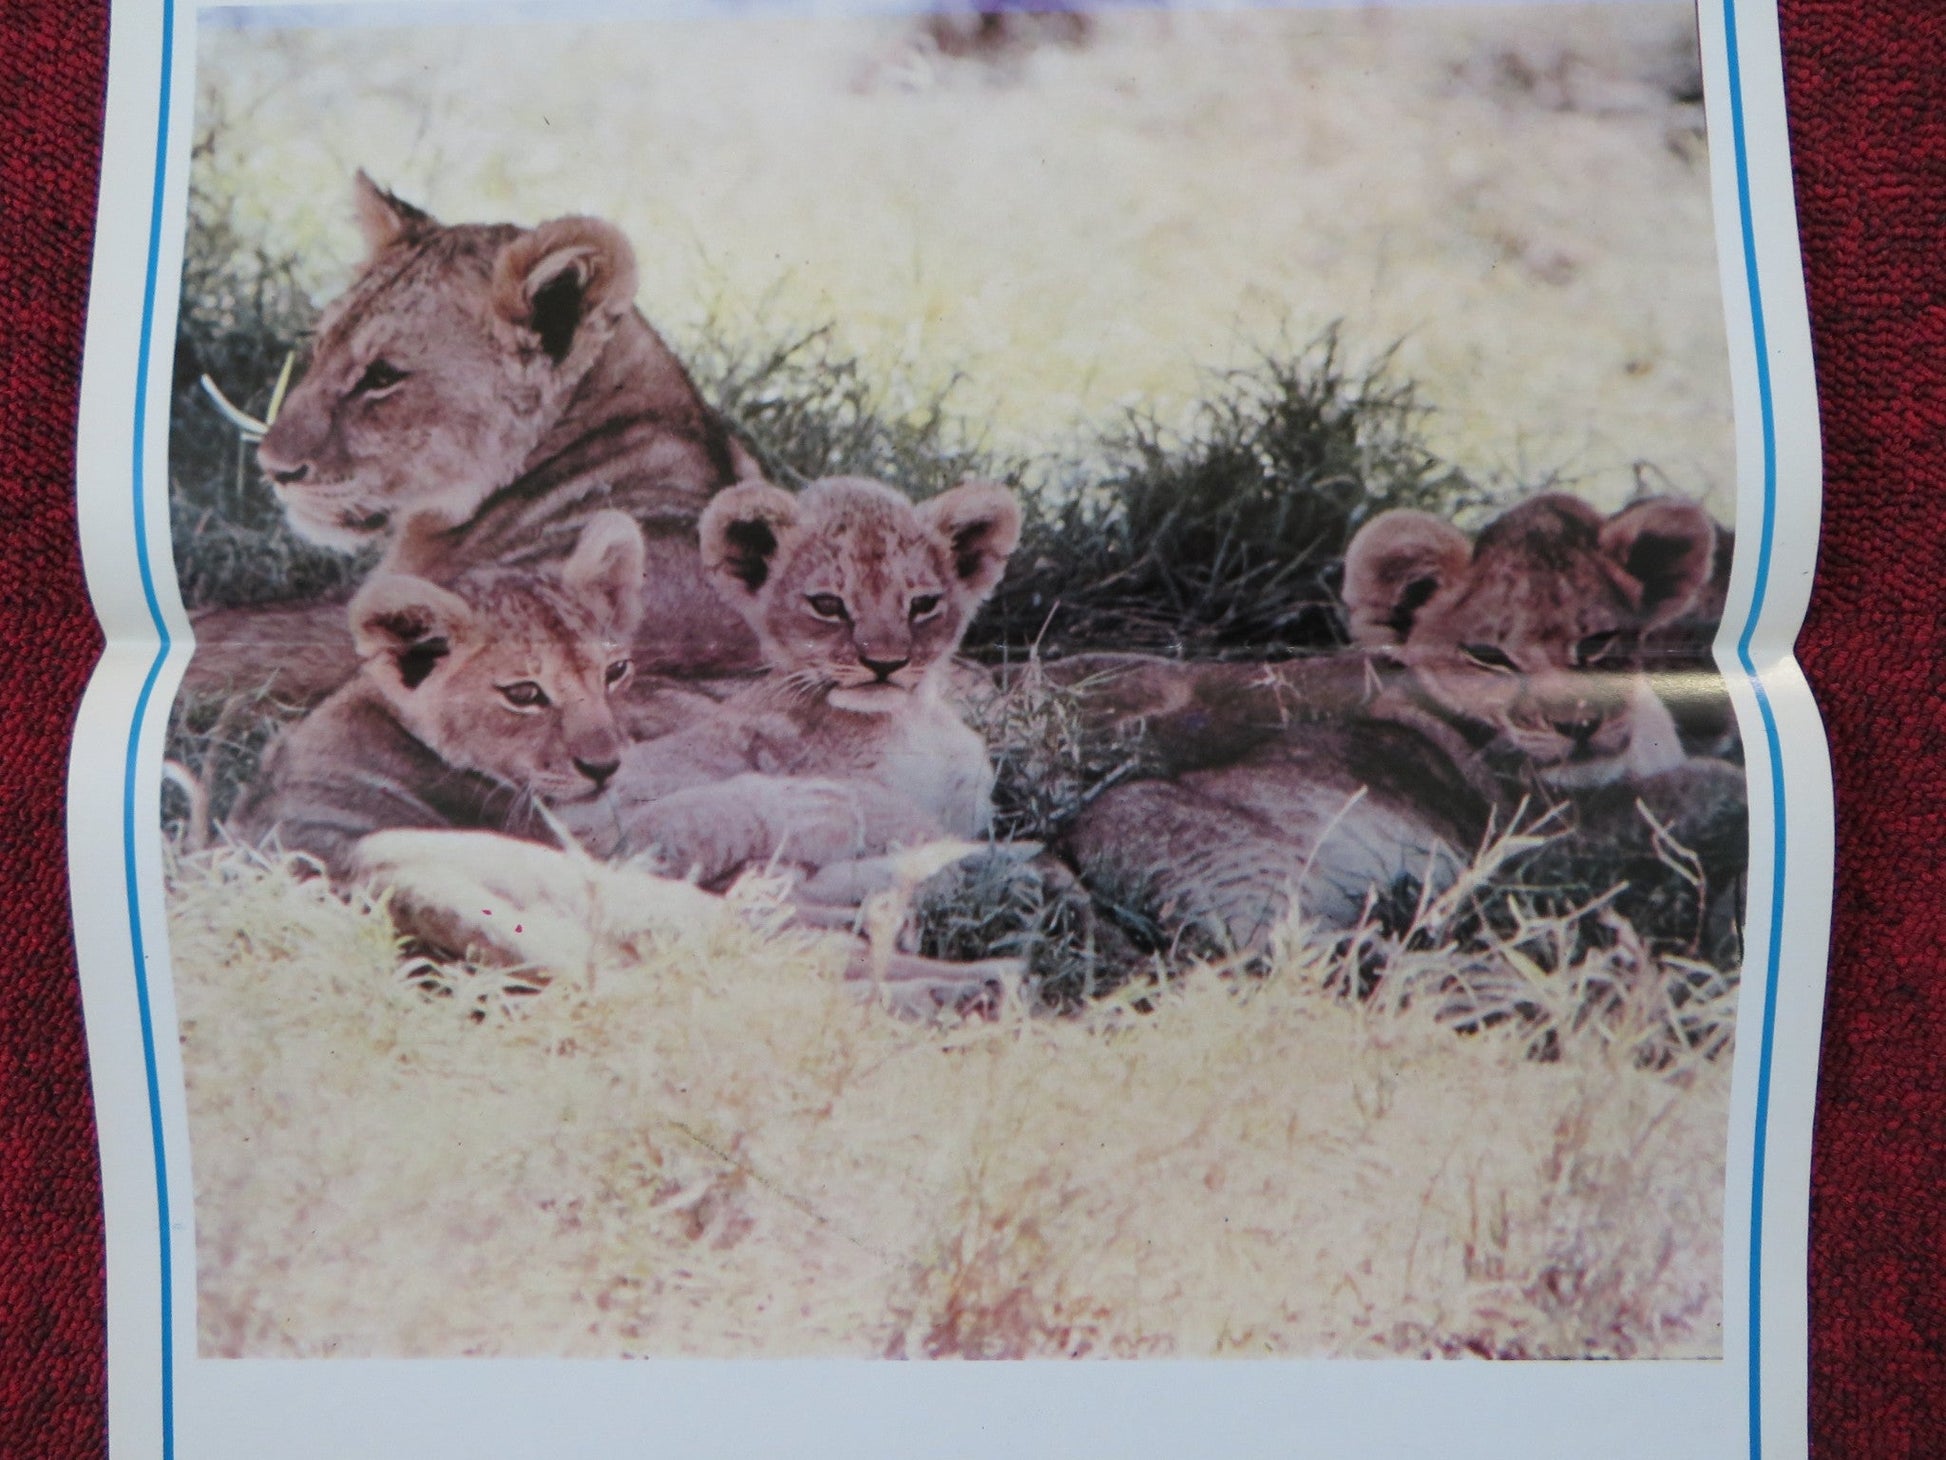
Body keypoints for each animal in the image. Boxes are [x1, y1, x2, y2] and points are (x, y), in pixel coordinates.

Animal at [1059, 493, 1747, 955]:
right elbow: (1695, 790)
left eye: (1599, 643)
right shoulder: (1541, 835)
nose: (1575, 725)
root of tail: (1072, 850)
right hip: (1235, 866)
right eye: (1489, 656)